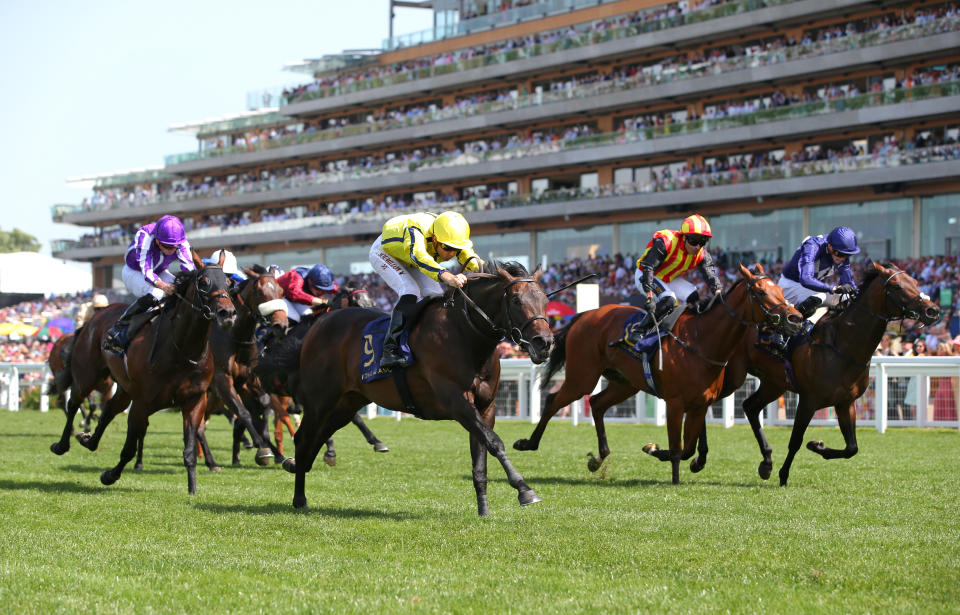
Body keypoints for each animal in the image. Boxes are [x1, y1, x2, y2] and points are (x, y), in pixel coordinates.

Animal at [71, 253, 236, 494]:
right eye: (204, 283)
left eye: (229, 283)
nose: (228, 313)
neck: (182, 349)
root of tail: (96, 316)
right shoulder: (142, 403)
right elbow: (128, 449)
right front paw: (109, 475)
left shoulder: (194, 400)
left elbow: (189, 450)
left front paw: (192, 490)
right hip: (87, 374)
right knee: (74, 402)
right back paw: (61, 444)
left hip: (123, 387)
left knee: (109, 409)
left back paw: (89, 441)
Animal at [284, 262, 552, 516]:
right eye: (516, 300)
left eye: (545, 299)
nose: (545, 342)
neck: (465, 335)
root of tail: (319, 323)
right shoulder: (456, 402)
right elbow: (494, 442)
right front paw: (524, 490)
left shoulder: (485, 407)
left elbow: (481, 457)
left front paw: (484, 510)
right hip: (320, 399)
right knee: (303, 437)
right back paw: (299, 497)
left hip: (347, 402)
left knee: (320, 435)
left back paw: (298, 466)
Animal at [510, 264, 804, 486]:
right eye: (761, 292)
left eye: (780, 289)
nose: (795, 318)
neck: (701, 341)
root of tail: (586, 314)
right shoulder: (674, 403)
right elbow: (677, 447)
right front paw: (672, 475)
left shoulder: (700, 404)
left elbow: (686, 448)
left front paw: (659, 452)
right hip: (583, 376)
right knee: (553, 400)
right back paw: (528, 443)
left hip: (625, 383)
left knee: (596, 403)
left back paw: (599, 458)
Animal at [716, 262, 940, 486]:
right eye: (897, 286)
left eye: (915, 282)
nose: (933, 310)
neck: (843, 346)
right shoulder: (808, 400)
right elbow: (795, 441)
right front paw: (784, 475)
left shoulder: (845, 403)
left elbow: (852, 448)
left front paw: (817, 446)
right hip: (731, 377)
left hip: (774, 384)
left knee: (750, 406)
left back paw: (766, 462)